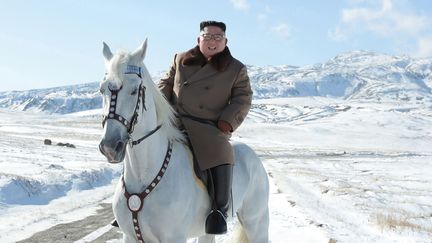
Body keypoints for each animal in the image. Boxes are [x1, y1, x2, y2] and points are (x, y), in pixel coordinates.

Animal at [99, 40, 268, 243]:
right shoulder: (129, 236)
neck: (142, 175)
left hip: (256, 221)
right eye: (102, 90)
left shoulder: (174, 237)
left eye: (134, 90)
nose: (110, 147)